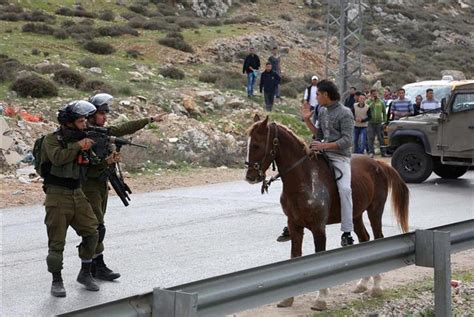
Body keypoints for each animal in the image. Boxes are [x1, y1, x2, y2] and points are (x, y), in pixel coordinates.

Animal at [246, 115, 410, 310]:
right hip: (355, 216)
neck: (303, 179)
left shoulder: (318, 228)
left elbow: (320, 258)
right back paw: (362, 283)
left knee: (378, 238)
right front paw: (288, 298)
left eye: (257, 145)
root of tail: (378, 163)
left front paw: (321, 298)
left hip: (375, 211)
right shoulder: (294, 226)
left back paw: (376, 287)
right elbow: (295, 256)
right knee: (364, 239)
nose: (250, 176)